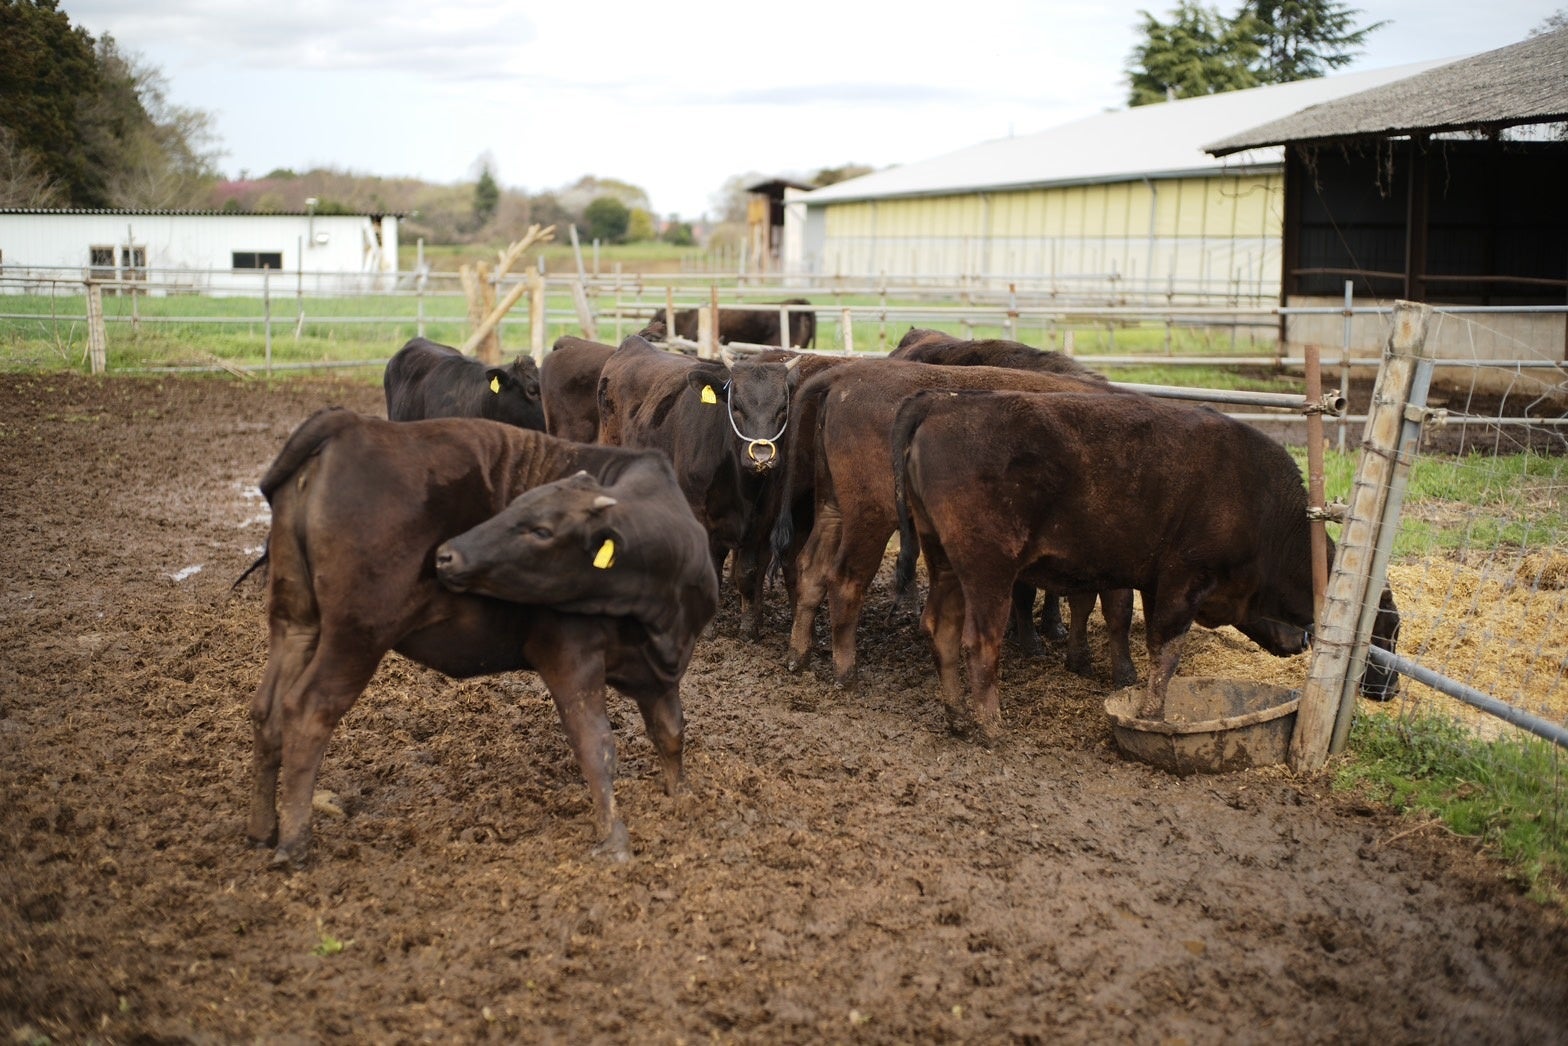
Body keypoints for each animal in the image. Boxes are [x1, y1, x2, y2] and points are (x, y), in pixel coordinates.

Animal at [246, 408, 717, 866]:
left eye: (541, 530)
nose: (448, 555)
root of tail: (349, 424)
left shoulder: (661, 672)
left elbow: (670, 730)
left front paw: (682, 798)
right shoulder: (570, 653)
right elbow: (596, 743)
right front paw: (614, 838)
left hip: (296, 621)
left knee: (268, 709)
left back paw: (264, 830)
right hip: (358, 635)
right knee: (308, 711)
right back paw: (295, 843)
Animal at [597, 334, 803, 633]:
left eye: (783, 408)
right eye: (735, 406)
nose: (762, 456)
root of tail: (634, 343)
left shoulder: (761, 521)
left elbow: (747, 572)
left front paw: (748, 627)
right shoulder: (702, 516)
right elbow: (713, 570)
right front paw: (706, 628)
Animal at [771, 358, 1119, 687]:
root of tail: (843, 376)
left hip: (831, 507)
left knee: (811, 568)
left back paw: (798, 657)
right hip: (870, 515)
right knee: (844, 581)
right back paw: (846, 674)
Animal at [891, 389, 1400, 742]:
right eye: (1382, 635)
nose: (1391, 691)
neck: (1262, 507)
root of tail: (941, 402)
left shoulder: (1157, 585)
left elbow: (1154, 646)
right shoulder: (1185, 580)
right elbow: (1167, 650)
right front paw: (1154, 716)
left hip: (945, 564)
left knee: (941, 629)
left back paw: (958, 719)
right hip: (987, 571)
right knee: (980, 642)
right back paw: (992, 727)